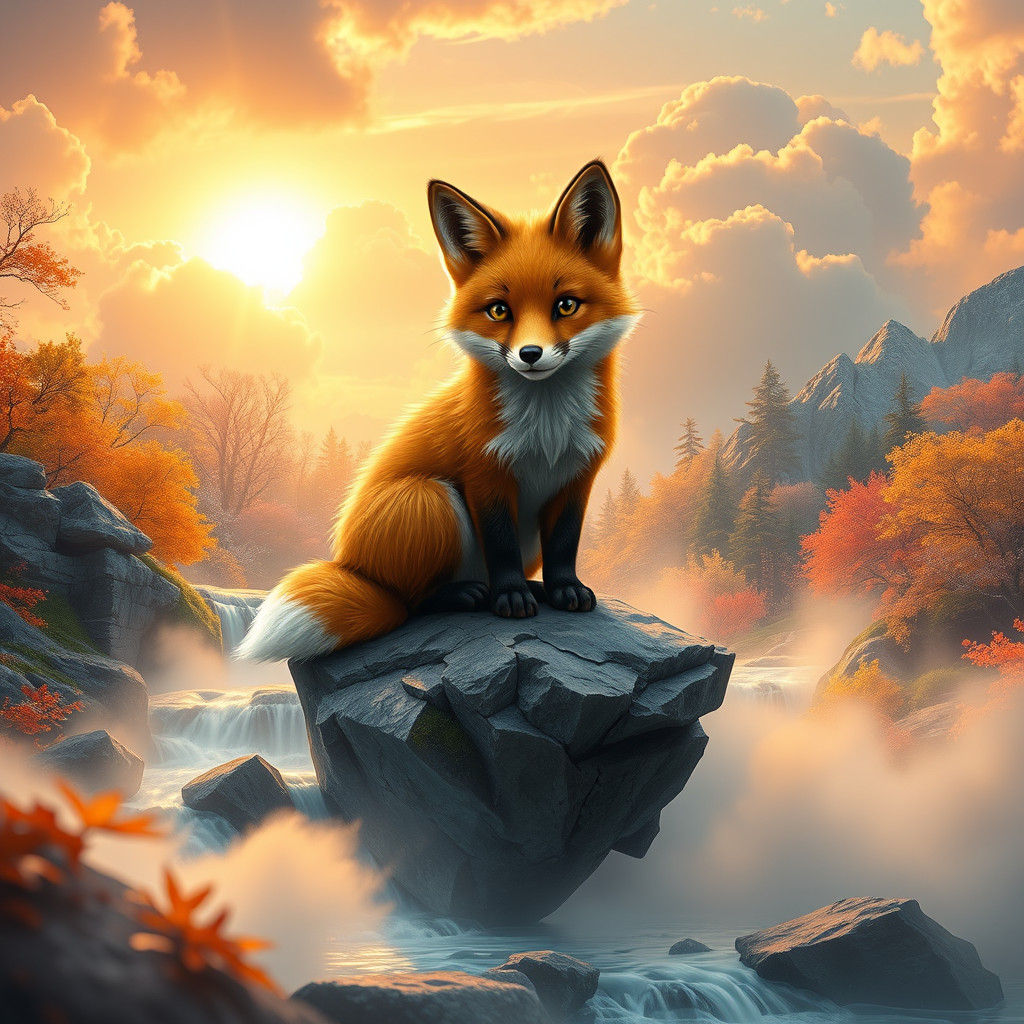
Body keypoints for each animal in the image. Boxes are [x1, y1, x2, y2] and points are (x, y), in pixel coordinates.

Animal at [237, 159, 640, 662]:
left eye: (565, 305)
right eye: (499, 310)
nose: (530, 354)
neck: (546, 431)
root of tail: (355, 569)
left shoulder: (577, 476)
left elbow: (565, 544)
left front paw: (564, 589)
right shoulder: (485, 474)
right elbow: (501, 546)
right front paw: (511, 597)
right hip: (430, 498)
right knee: (412, 602)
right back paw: (467, 595)